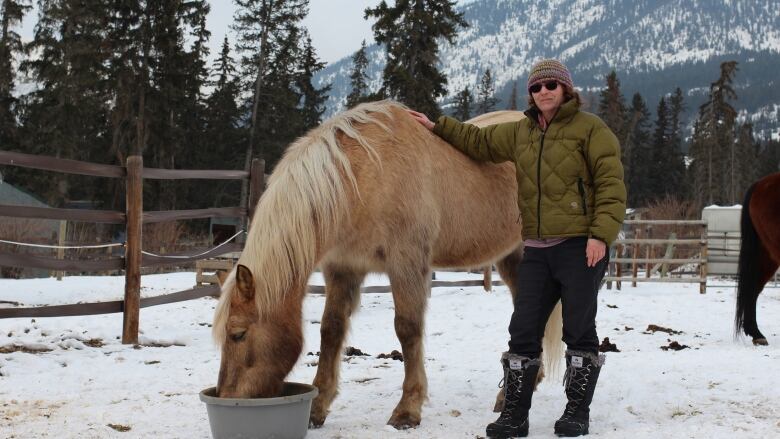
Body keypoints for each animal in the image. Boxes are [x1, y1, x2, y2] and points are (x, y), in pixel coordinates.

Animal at [209, 100, 560, 430]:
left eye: (238, 334)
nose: (228, 397)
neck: (361, 177)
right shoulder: (343, 267)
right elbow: (331, 329)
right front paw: (318, 406)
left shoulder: (406, 263)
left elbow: (407, 329)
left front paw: (408, 409)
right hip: (512, 259)